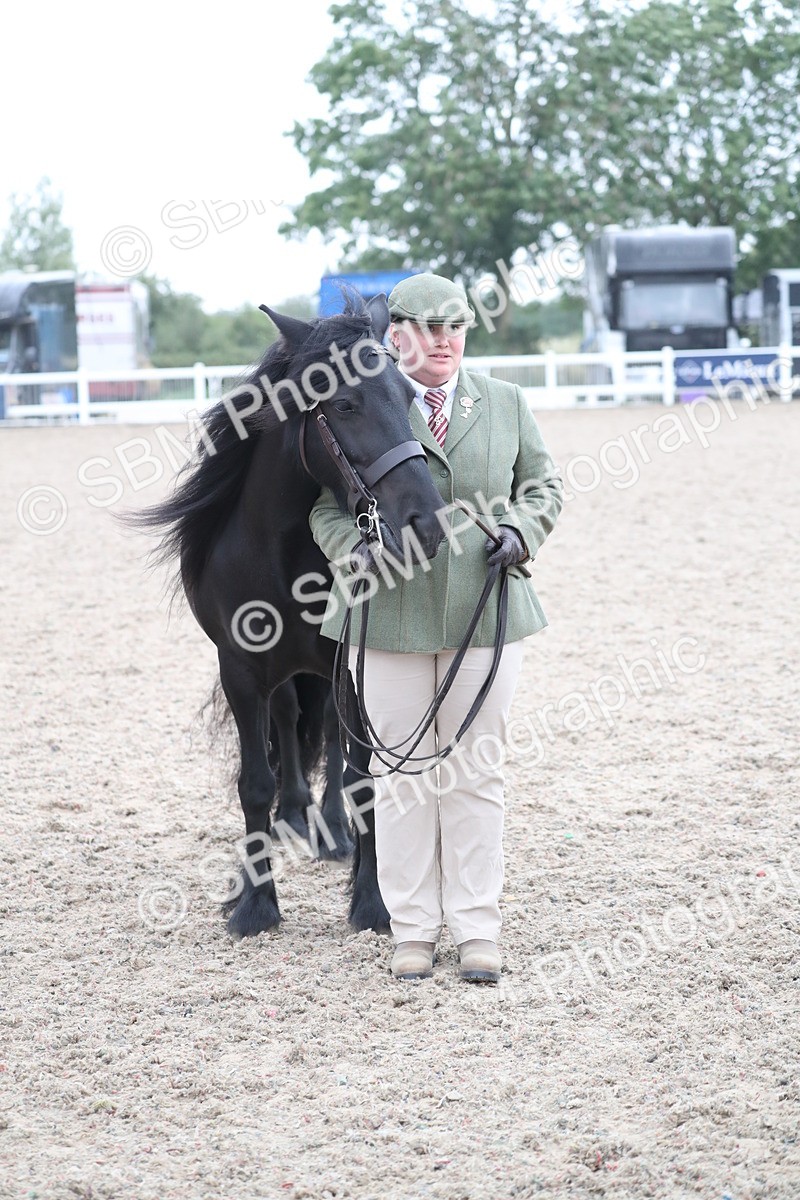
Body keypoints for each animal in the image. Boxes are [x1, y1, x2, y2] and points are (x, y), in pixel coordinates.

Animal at [134, 293, 446, 938]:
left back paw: (329, 832)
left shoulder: (351, 666)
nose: (426, 523)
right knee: (287, 718)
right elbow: (254, 783)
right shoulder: (239, 671)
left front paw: (371, 902)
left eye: (408, 395)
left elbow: (358, 778)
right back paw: (295, 817)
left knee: (324, 727)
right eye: (344, 403)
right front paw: (255, 904)